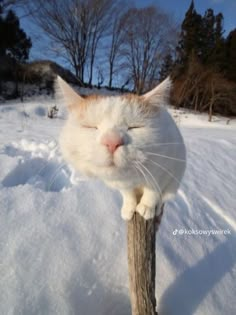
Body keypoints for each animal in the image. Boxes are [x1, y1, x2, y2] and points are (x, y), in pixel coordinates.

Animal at [57, 76, 186, 220]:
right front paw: (129, 207)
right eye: (91, 127)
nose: (112, 142)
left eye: (134, 127)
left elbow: (152, 191)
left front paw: (147, 207)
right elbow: (128, 193)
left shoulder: (164, 170)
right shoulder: (123, 184)